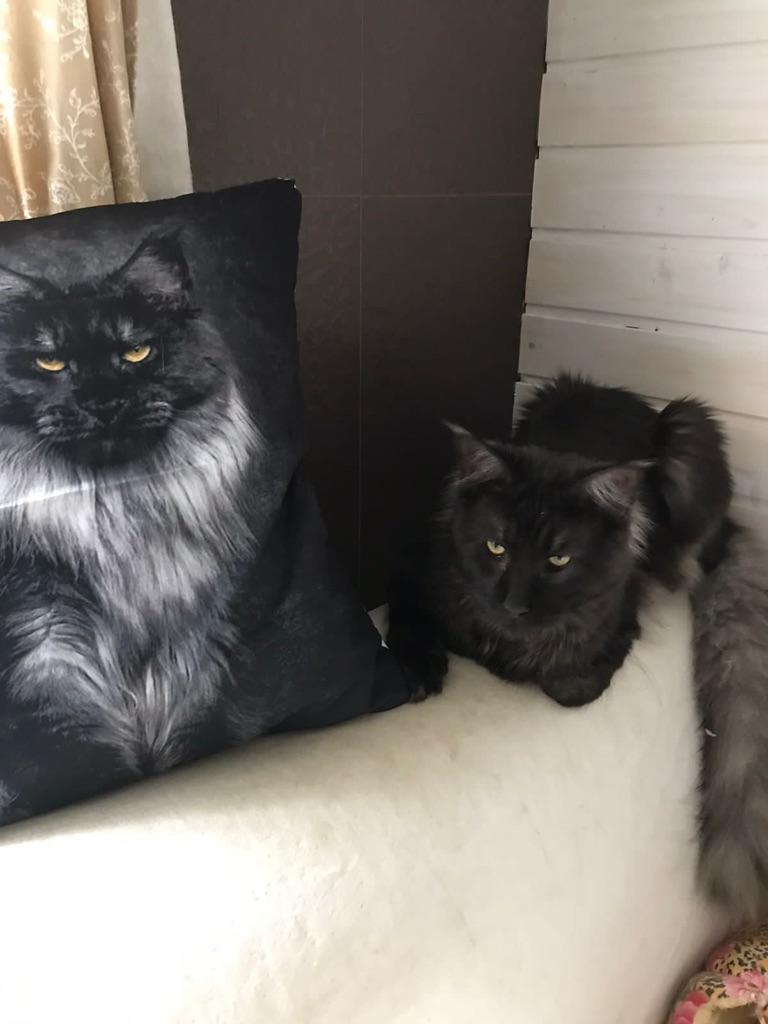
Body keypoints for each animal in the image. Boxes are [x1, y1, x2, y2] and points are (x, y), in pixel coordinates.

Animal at [0, 229, 262, 820]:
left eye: (136, 351)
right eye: (49, 362)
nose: (104, 403)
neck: (120, 514)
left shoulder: (193, 649)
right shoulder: (40, 652)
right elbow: (78, 758)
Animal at [387, 375, 731, 707]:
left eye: (559, 559)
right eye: (495, 547)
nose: (514, 606)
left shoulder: (619, 617)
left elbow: (571, 687)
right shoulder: (415, 570)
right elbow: (409, 618)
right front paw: (422, 670)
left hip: (689, 424)